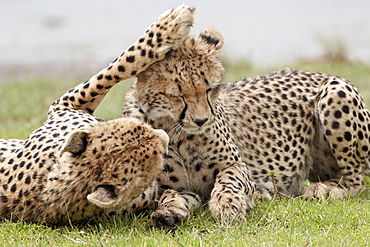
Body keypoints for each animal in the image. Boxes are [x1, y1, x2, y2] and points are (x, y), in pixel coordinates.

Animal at [0, 5, 195, 226]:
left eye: (136, 129)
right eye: (155, 155)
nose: (164, 136)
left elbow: (109, 74)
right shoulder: (64, 105)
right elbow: (118, 67)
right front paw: (169, 27)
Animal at [123, 27, 370, 228]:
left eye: (210, 88)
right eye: (176, 95)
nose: (202, 121)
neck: (177, 132)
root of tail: (317, 72)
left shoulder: (238, 166)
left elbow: (230, 179)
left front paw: (228, 205)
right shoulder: (179, 187)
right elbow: (171, 196)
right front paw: (168, 213)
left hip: (335, 91)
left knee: (355, 180)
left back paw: (324, 189)